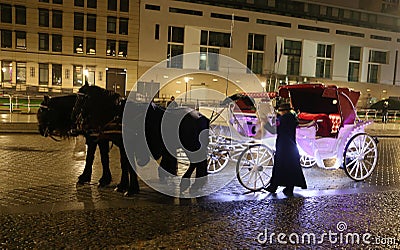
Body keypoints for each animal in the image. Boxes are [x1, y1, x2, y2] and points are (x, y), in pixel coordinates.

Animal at [72, 84, 209, 195]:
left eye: (81, 99)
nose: (75, 121)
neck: (118, 114)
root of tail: (202, 116)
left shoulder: (127, 144)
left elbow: (128, 165)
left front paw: (131, 188)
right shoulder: (122, 145)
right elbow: (123, 164)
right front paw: (123, 185)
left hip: (190, 145)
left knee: (196, 162)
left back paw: (186, 183)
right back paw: (195, 184)